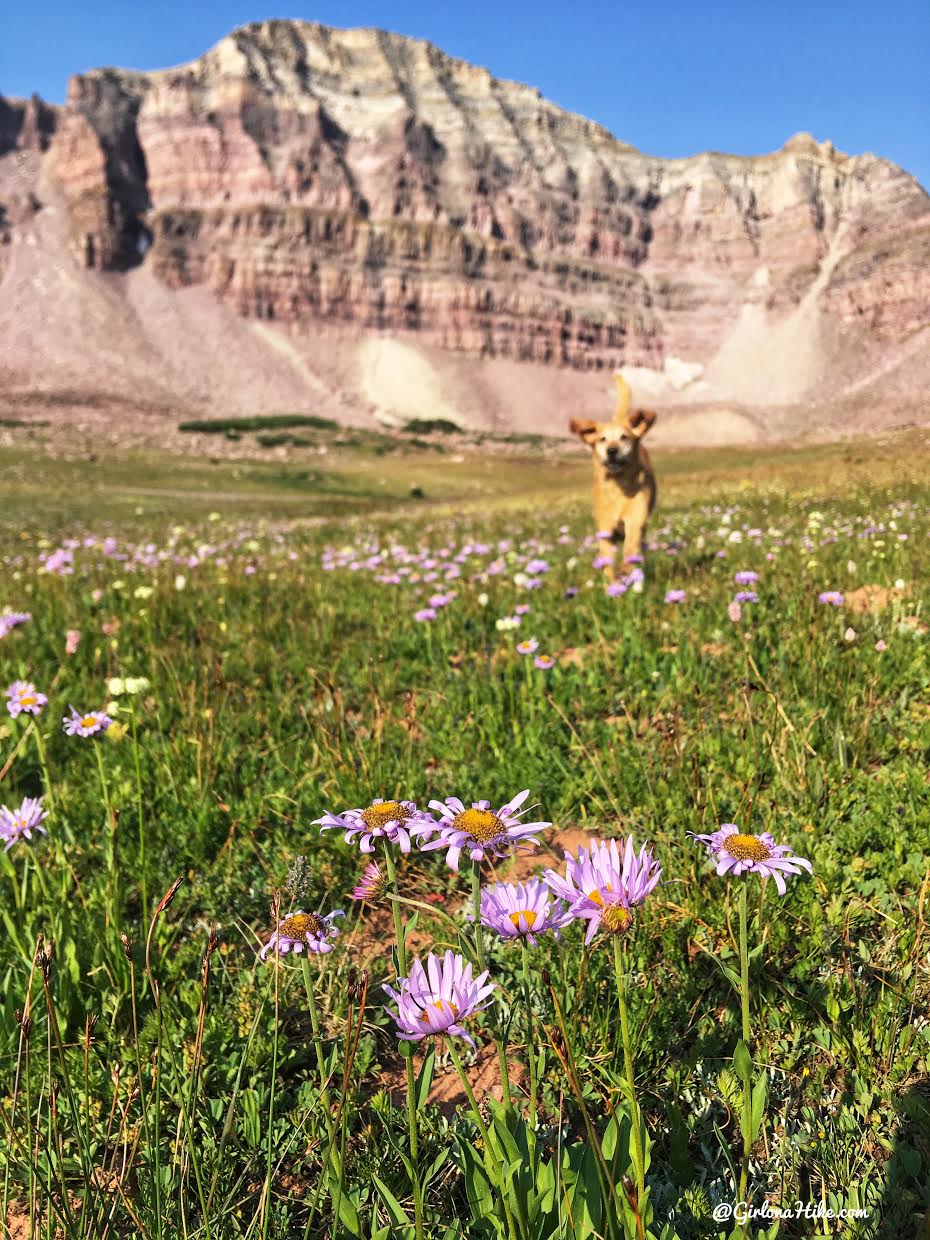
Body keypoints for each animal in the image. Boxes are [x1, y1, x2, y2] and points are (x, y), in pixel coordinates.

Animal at [572, 369, 659, 582]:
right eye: (602, 439)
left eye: (624, 437)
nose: (612, 450)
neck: (618, 488)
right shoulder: (605, 529)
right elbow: (607, 560)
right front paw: (612, 582)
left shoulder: (635, 519)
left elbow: (631, 546)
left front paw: (627, 570)